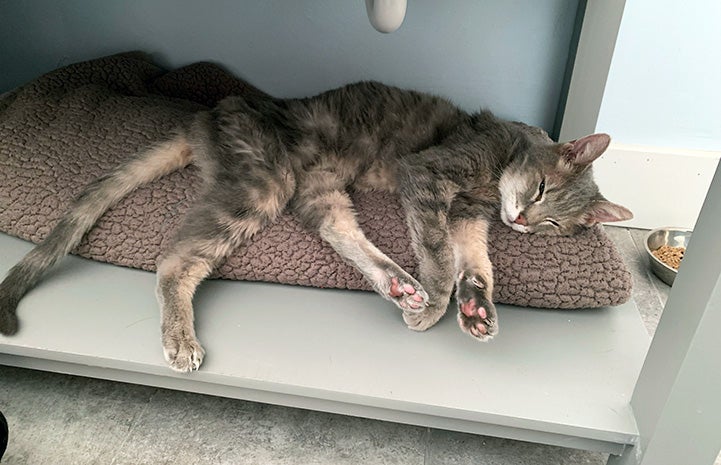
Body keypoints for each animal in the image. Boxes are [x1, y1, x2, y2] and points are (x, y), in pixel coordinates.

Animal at [0, 80, 632, 370]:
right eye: (543, 189)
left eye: (553, 226)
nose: (523, 220)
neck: (494, 174)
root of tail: (206, 116)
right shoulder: (430, 177)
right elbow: (439, 256)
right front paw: (437, 301)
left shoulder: (469, 216)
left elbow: (478, 266)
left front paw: (476, 309)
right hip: (265, 183)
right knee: (175, 259)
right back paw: (180, 339)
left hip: (318, 187)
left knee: (338, 232)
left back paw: (398, 284)